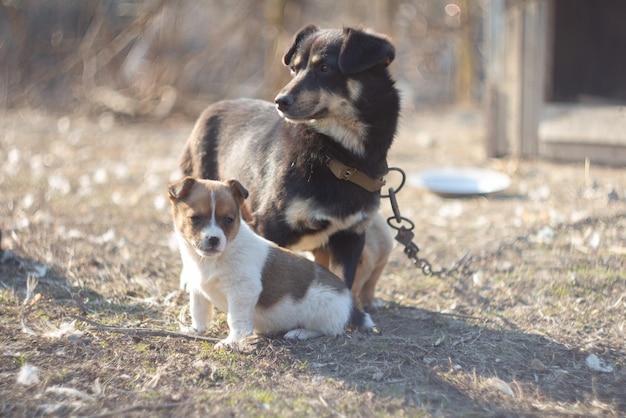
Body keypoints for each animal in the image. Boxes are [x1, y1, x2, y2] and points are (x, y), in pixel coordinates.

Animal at [167, 176, 370, 350]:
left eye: (229, 220)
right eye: (195, 218)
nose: (214, 239)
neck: (209, 261)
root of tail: (348, 299)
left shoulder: (243, 291)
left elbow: (236, 320)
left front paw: (232, 342)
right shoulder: (197, 288)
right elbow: (198, 311)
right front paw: (196, 330)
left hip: (322, 309)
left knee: (329, 330)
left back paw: (300, 333)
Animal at [178, 23, 398, 304]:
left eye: (324, 68)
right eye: (294, 68)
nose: (279, 101)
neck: (338, 156)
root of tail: (211, 107)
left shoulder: (350, 236)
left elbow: (343, 283)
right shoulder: (271, 226)